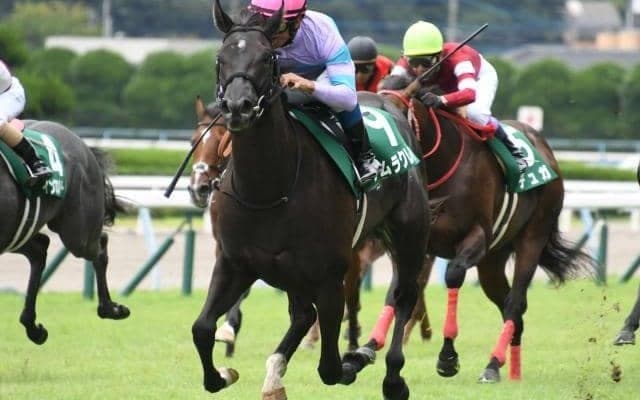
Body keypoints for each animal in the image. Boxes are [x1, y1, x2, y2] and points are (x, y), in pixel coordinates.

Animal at [1, 119, 130, 345]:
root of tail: (83, 144)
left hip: (77, 234)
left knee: (99, 246)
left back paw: (111, 309)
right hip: (16, 234)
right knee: (39, 248)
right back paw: (33, 328)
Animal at [191, 3, 430, 399]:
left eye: (267, 58)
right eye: (221, 58)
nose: (238, 107)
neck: (268, 188)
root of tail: (394, 104)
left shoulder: (329, 274)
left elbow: (331, 368)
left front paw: (354, 358)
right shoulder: (234, 263)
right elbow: (202, 328)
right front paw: (224, 373)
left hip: (408, 234)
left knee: (404, 296)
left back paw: (390, 374)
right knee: (304, 314)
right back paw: (276, 373)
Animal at [367, 74, 596, 382]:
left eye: (393, 118)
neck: (441, 165)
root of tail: (545, 148)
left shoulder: (476, 237)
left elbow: (453, 275)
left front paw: (448, 357)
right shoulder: (413, 244)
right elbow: (397, 289)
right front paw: (367, 347)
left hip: (532, 236)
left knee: (515, 301)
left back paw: (492, 364)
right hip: (493, 260)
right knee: (508, 303)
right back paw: (512, 368)